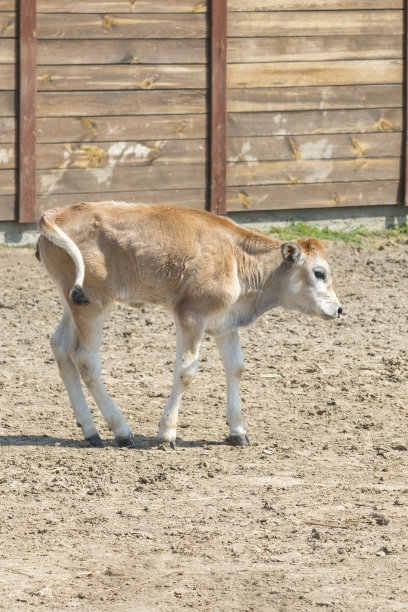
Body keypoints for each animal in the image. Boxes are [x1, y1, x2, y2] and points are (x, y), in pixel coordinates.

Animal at [36, 203, 342, 448]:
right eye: (319, 273)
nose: (339, 309)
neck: (235, 256)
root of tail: (56, 214)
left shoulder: (225, 323)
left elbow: (236, 367)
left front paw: (237, 431)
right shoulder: (191, 315)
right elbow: (186, 372)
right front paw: (167, 433)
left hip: (72, 301)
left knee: (60, 348)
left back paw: (91, 431)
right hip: (93, 305)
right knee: (85, 358)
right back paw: (121, 431)